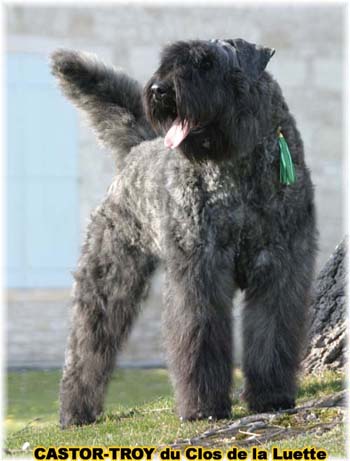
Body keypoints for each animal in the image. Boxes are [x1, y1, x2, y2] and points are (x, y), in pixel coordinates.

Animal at [51, 38, 318, 428]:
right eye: (169, 60)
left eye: (207, 64)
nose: (159, 90)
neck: (237, 167)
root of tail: (135, 150)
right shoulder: (200, 271)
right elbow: (199, 336)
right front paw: (204, 407)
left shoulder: (278, 268)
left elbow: (271, 333)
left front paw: (272, 396)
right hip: (108, 278)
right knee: (87, 345)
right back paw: (75, 411)